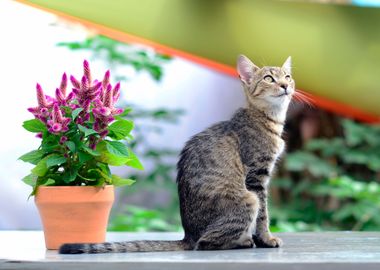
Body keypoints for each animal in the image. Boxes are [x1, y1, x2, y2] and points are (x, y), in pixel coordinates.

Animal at [60, 54, 296, 253]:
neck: (268, 118)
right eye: (268, 78)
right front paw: (266, 239)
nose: (285, 85)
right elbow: (264, 215)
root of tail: (188, 236)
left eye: (287, 77)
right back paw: (243, 242)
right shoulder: (256, 176)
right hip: (248, 199)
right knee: (205, 243)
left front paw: (262, 239)